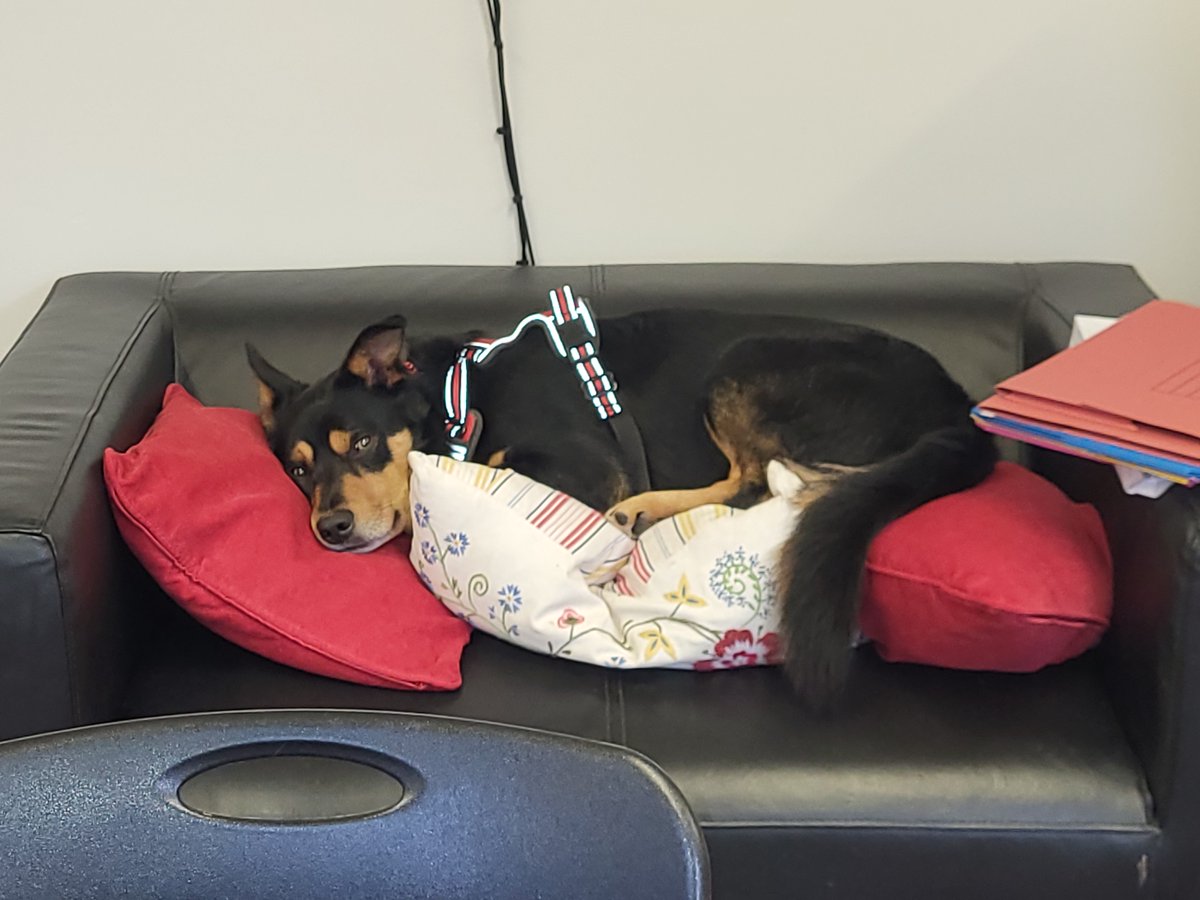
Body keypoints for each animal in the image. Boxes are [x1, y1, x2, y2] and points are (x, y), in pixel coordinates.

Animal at [246, 307, 993, 710]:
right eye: (298, 470)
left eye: (363, 442)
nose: (331, 528)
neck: (456, 397)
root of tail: (959, 408)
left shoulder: (581, 465)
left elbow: (490, 466)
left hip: (744, 359)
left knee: (764, 481)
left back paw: (649, 510)